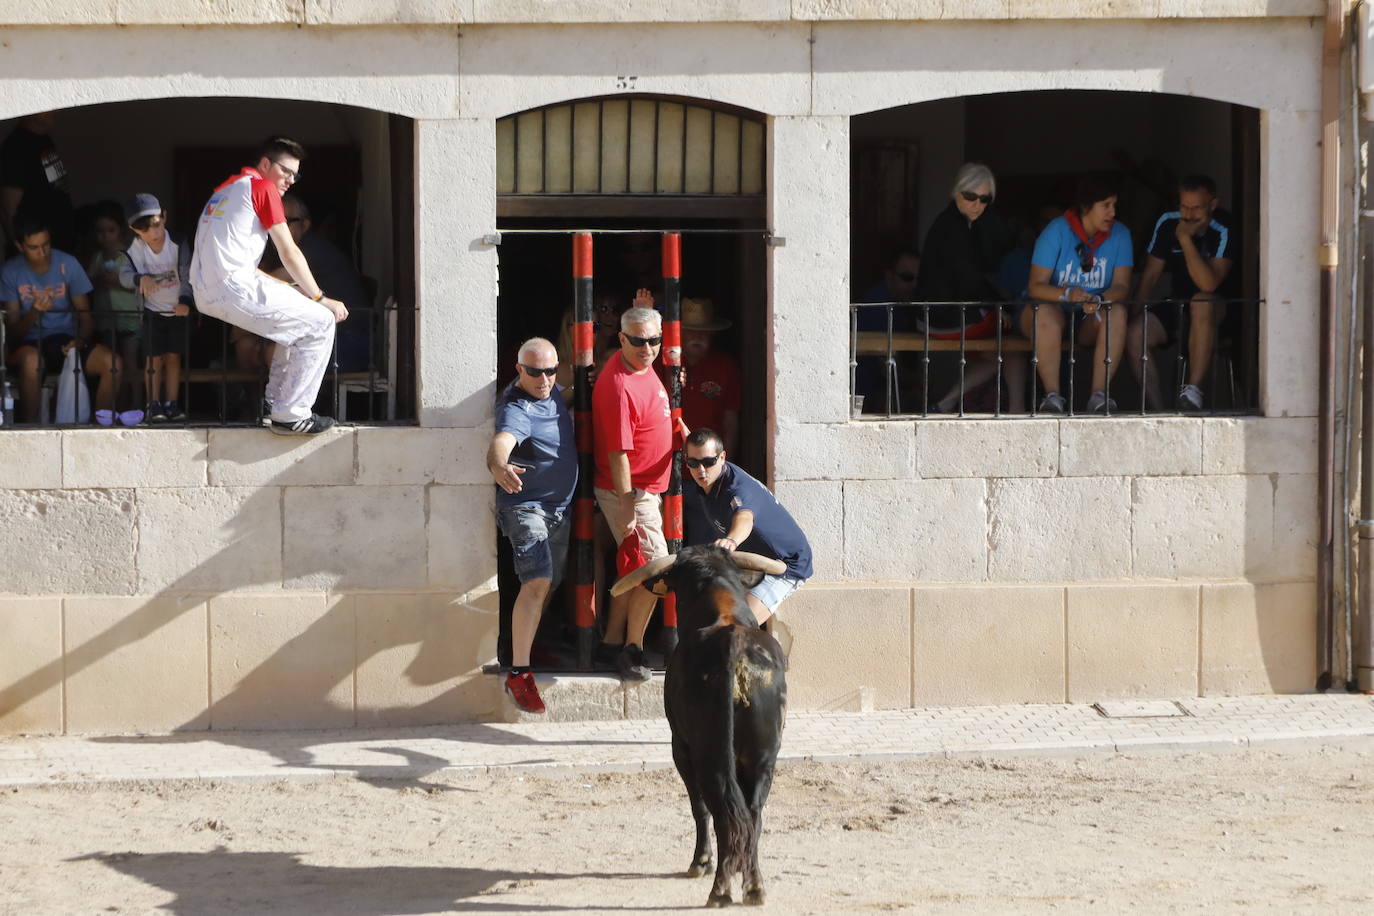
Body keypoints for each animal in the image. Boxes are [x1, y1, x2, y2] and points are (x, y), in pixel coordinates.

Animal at [618, 549, 791, 906]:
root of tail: (733, 648)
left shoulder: (680, 746)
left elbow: (698, 807)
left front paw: (701, 862)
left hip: (707, 753)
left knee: (721, 809)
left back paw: (720, 888)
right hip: (765, 756)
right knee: (752, 812)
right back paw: (754, 887)